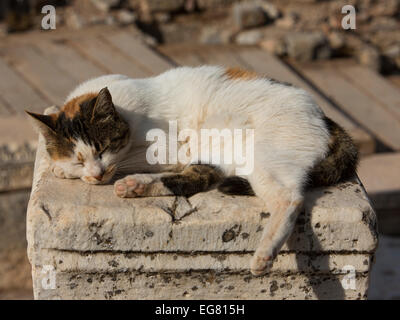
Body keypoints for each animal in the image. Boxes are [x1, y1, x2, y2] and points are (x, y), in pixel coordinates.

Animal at [26, 66, 358, 276]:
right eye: (78, 158)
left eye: (104, 148)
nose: (95, 174)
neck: (125, 111)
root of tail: (324, 117)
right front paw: (63, 165)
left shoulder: (170, 148)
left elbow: (128, 159)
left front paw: (66, 171)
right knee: (198, 178)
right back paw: (135, 186)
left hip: (261, 159)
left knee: (289, 198)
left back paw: (264, 256)